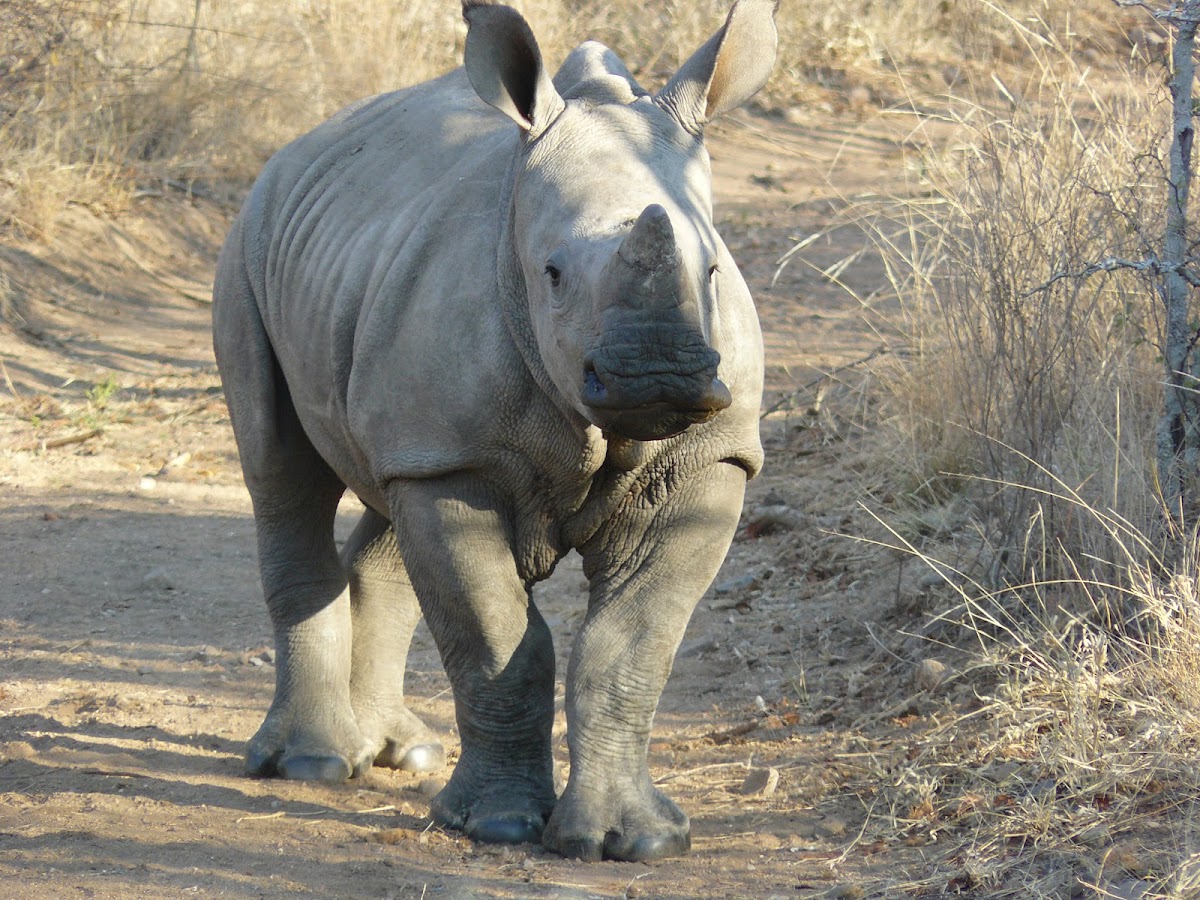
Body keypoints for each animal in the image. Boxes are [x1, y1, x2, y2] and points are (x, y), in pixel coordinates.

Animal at [213, 0, 777, 864]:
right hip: (248, 245)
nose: (657, 376)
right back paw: (312, 764)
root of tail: (297, 149)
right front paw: (498, 826)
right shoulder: (456, 461)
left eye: (712, 271)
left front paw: (637, 842)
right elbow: (497, 640)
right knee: (282, 474)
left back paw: (399, 752)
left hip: (363, 289)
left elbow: (630, 646)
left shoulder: (710, 458)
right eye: (551, 274)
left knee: (384, 500)